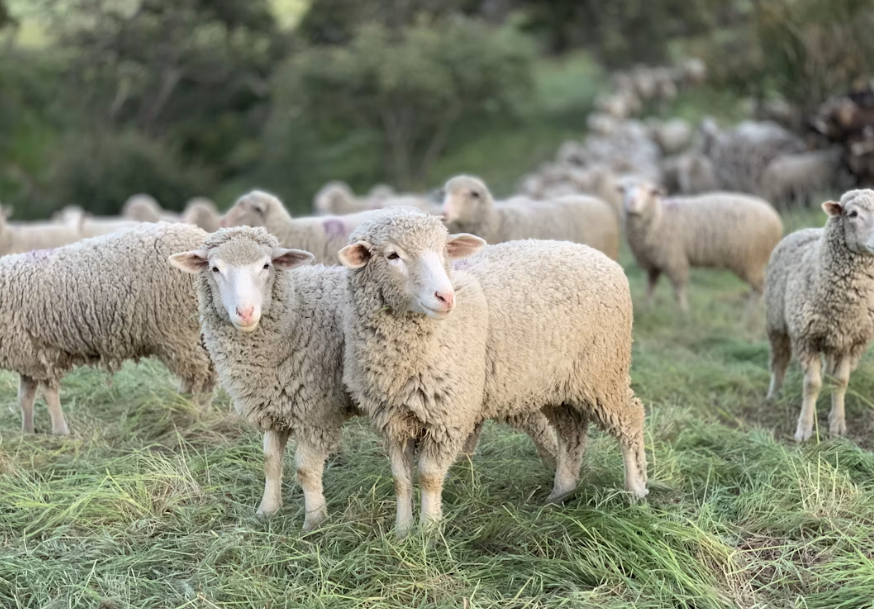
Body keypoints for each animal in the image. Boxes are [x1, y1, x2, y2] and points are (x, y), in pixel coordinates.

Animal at [2, 222, 216, 435]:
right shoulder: (27, 356)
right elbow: (25, 398)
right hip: (198, 331)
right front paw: (27, 433)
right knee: (210, 371)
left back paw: (187, 412)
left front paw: (60, 432)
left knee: (197, 374)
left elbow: (48, 395)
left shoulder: (42, 354)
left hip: (177, 332)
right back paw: (198, 410)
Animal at [169, 226, 559, 531]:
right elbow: (270, 461)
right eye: (215, 268)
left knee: (539, 427)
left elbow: (305, 469)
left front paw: (314, 521)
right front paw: (267, 511)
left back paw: (555, 473)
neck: (294, 314)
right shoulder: (274, 405)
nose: (245, 312)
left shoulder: (316, 411)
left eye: (266, 266)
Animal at [339, 208, 647, 534]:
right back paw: (561, 492)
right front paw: (401, 532)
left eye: (444, 251)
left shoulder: (448, 415)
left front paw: (429, 532)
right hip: (557, 382)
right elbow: (401, 479)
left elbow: (428, 476)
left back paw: (636, 491)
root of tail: (602, 259)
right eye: (392, 255)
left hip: (602, 372)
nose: (445, 297)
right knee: (571, 432)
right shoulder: (392, 419)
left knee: (630, 419)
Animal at [620, 182, 783, 312]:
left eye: (650, 192)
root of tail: (775, 218)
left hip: (750, 259)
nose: (632, 202)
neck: (659, 217)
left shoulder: (675, 260)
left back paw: (751, 313)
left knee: (760, 287)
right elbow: (650, 287)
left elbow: (678, 290)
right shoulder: (653, 263)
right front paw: (647, 307)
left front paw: (682, 311)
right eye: (625, 191)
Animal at [765, 191, 874, 441]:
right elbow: (812, 385)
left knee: (829, 370)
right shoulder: (806, 338)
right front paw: (804, 429)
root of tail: (804, 229)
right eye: (852, 214)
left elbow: (840, 381)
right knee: (779, 360)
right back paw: (774, 394)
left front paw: (838, 424)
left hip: (835, 338)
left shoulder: (852, 340)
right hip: (776, 323)